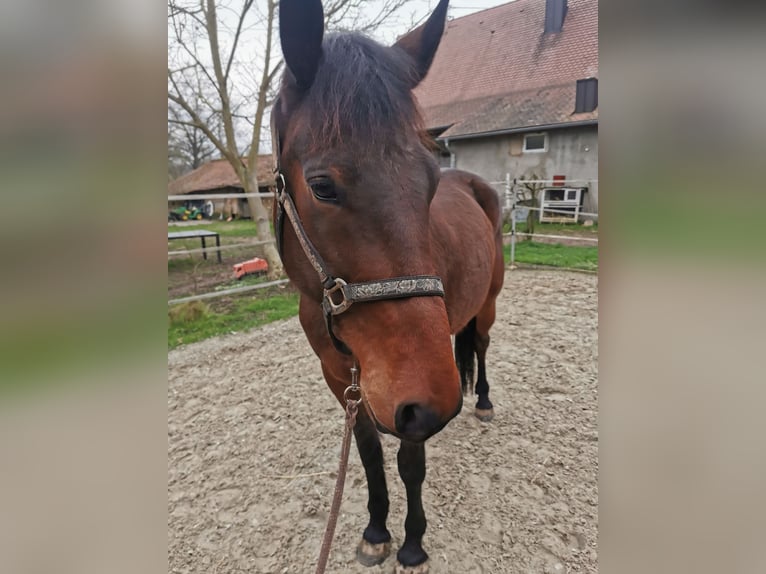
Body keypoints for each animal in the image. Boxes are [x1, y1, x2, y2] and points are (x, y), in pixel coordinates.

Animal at [272, 0, 508, 568]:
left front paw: (414, 542)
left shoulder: (411, 403)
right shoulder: (344, 381)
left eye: (429, 179)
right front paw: (377, 530)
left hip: (488, 303)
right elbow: (370, 455)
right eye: (322, 187)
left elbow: (410, 464)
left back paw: (482, 401)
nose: (437, 402)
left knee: (482, 345)